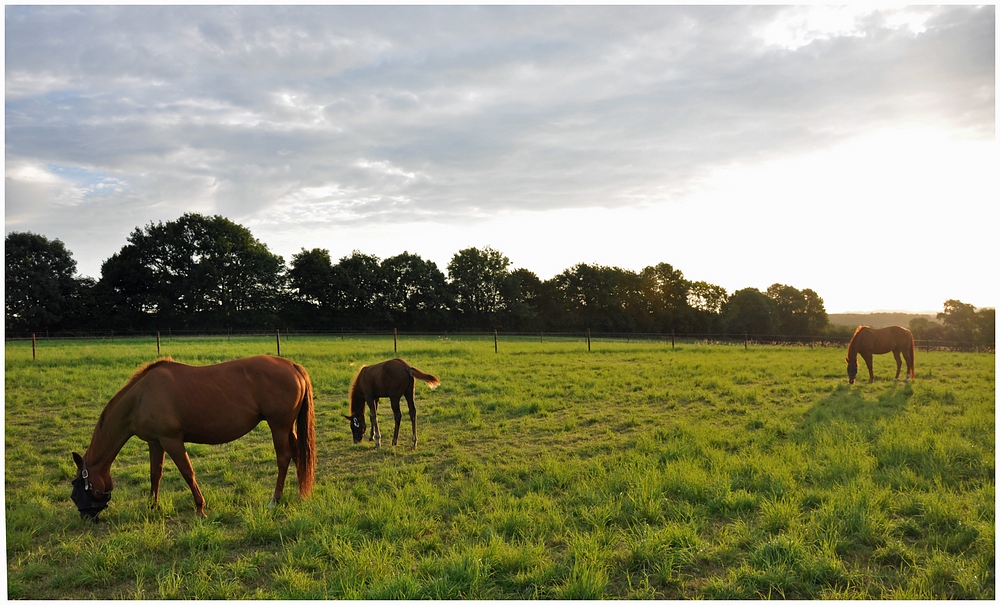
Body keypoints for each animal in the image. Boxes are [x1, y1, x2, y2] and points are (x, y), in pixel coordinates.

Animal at [71, 354, 312, 520]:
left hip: (278, 426)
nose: (86, 517)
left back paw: (274, 500)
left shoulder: (172, 441)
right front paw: (152, 506)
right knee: (297, 455)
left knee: (283, 458)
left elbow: (188, 473)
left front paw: (200, 509)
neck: (140, 397)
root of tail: (293, 366)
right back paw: (301, 495)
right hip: (287, 428)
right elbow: (155, 474)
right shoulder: (155, 442)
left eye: (77, 488)